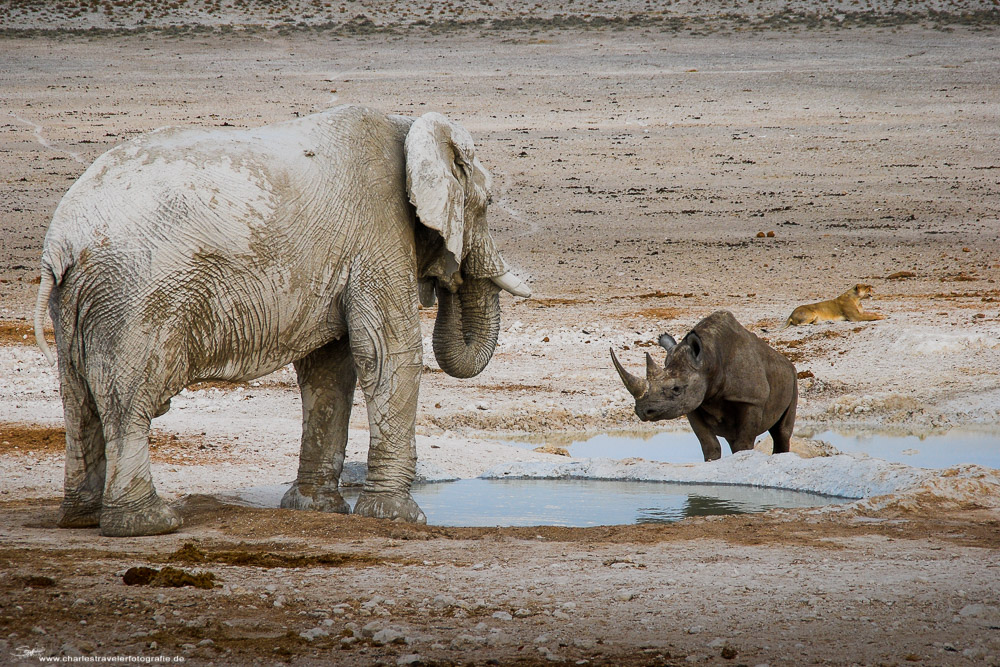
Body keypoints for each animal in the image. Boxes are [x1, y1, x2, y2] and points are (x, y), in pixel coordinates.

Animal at [31, 107, 532, 540]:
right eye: (488, 202)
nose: (449, 277)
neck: (407, 124)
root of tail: (60, 242)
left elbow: (330, 369)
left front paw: (317, 509)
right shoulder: (378, 232)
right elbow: (389, 355)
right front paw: (398, 518)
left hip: (81, 301)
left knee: (77, 398)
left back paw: (82, 518)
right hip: (135, 298)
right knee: (128, 402)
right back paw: (149, 524)